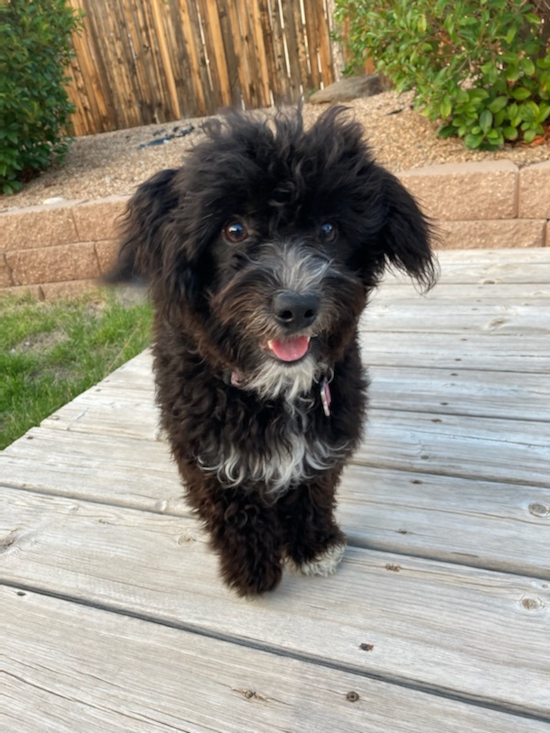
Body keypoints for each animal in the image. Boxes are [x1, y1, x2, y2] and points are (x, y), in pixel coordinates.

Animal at [109, 107, 440, 596]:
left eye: (328, 229)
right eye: (234, 230)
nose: (297, 307)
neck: (274, 387)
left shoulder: (328, 425)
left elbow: (312, 487)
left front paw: (316, 547)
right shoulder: (209, 445)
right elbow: (231, 505)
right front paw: (252, 569)